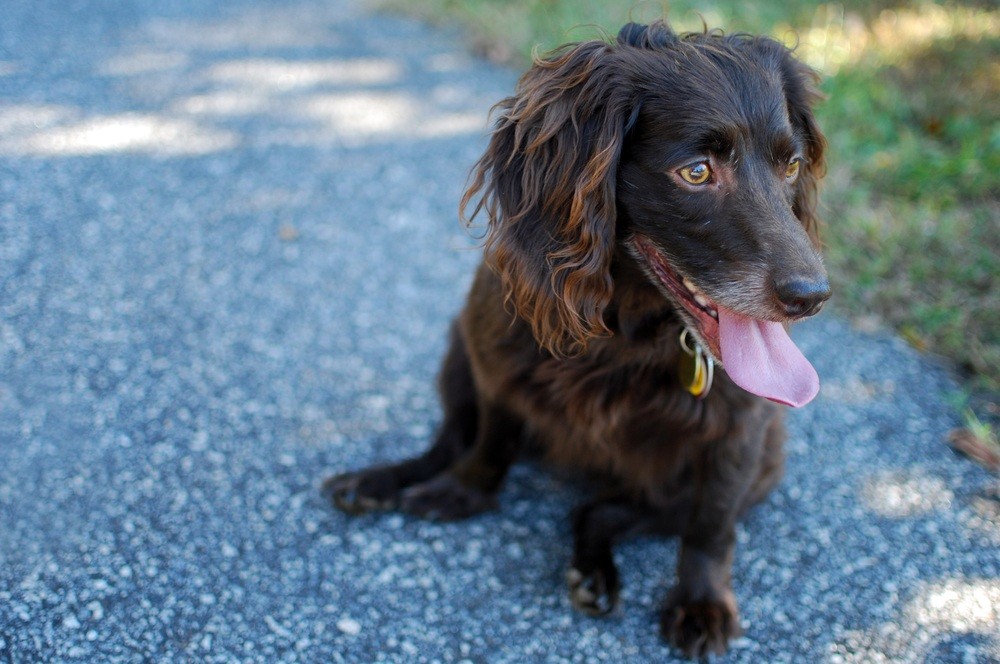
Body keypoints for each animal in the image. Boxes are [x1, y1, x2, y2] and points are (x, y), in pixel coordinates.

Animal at [324, 20, 832, 660]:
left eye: (791, 167)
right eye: (696, 173)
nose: (813, 295)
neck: (627, 328)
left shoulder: (742, 429)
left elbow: (712, 526)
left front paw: (701, 602)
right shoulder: (496, 367)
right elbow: (488, 446)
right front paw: (461, 493)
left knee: (600, 511)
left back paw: (592, 569)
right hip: (457, 357)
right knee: (450, 441)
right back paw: (379, 481)